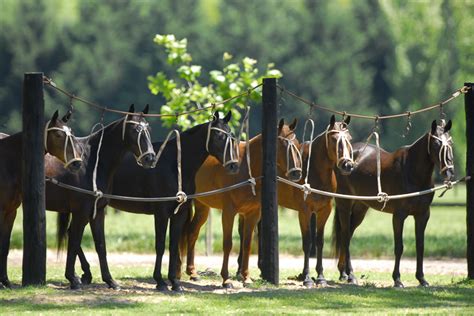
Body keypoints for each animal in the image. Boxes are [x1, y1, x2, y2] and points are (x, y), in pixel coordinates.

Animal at [0, 109, 82, 288]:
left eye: (72, 133)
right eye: (58, 135)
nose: (77, 163)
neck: (6, 162)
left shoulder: (10, 212)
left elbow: (5, 245)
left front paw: (5, 281)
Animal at [46, 104, 155, 288]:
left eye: (148, 129)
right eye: (134, 130)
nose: (150, 158)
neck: (91, 163)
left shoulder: (98, 211)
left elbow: (100, 245)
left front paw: (110, 280)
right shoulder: (81, 212)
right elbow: (75, 241)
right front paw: (72, 278)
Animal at [61, 110, 241, 292]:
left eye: (232, 136)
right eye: (218, 135)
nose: (234, 165)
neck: (174, 165)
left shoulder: (179, 213)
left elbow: (173, 246)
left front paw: (175, 282)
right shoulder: (161, 213)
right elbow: (160, 245)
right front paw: (160, 281)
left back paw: (84, 274)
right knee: (74, 234)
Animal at [180, 117, 302, 288]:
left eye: (297, 143)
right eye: (283, 144)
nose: (297, 173)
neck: (246, 168)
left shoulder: (252, 214)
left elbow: (247, 244)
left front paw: (246, 277)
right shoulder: (229, 212)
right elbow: (228, 244)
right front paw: (226, 279)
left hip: (202, 206)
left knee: (192, 232)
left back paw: (192, 272)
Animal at [334, 119, 456, 288]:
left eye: (450, 142)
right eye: (437, 144)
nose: (449, 172)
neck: (412, 172)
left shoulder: (423, 215)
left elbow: (420, 246)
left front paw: (421, 279)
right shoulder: (399, 216)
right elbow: (399, 247)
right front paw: (397, 279)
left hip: (360, 208)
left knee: (348, 235)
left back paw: (344, 273)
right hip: (344, 205)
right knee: (345, 236)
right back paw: (350, 275)